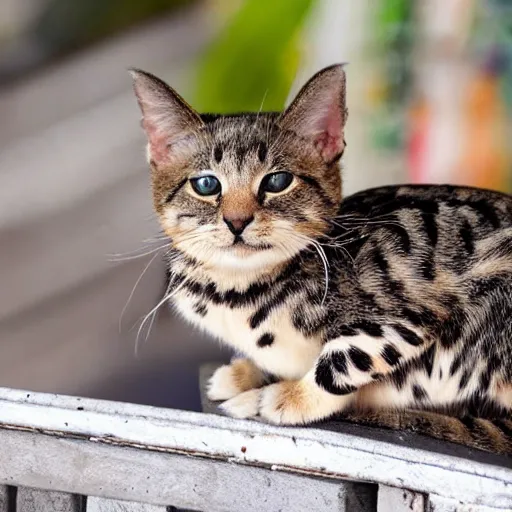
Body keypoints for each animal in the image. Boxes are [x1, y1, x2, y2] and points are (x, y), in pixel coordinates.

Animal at [129, 65, 512, 456]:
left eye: (278, 181)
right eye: (206, 185)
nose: (237, 221)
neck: (238, 287)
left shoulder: (410, 312)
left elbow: (344, 358)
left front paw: (288, 397)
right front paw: (248, 372)